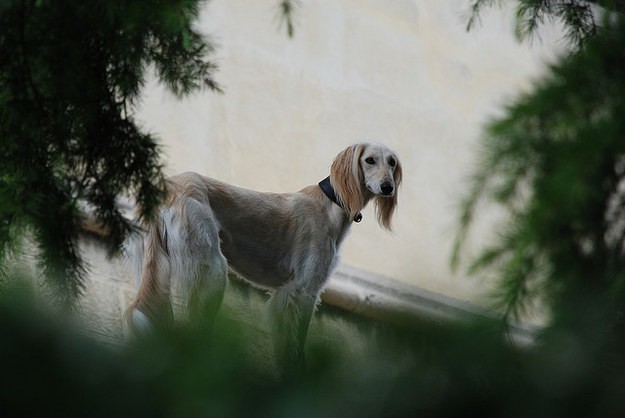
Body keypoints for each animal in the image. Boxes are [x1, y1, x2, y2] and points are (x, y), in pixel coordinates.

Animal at [124, 143, 402, 372]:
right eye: (369, 160)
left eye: (392, 162)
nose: (388, 187)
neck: (332, 203)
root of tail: (165, 189)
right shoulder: (303, 291)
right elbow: (296, 347)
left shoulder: (283, 296)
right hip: (210, 269)